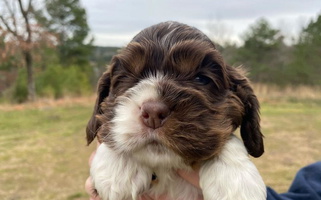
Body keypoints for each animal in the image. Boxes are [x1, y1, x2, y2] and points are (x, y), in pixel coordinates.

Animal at [85, 21, 264, 200]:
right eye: (125, 78)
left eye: (202, 79)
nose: (153, 113)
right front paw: (116, 169)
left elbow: (225, 136)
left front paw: (236, 182)